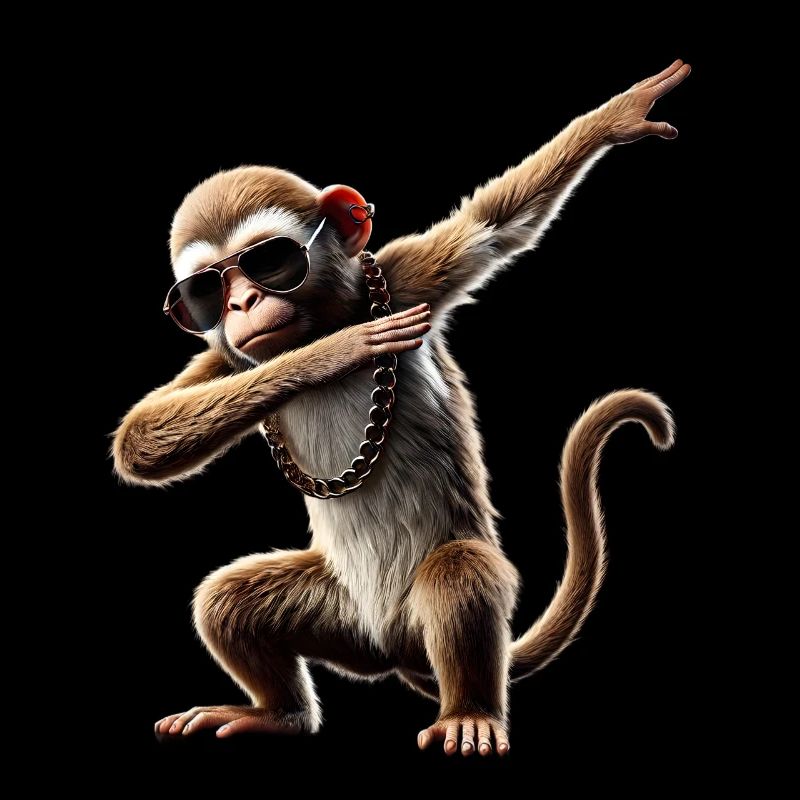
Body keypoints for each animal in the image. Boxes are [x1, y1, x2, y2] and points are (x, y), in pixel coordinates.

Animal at [115, 60, 689, 757]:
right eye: (206, 291)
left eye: (268, 262)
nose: (242, 305)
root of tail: (392, 655)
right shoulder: (230, 356)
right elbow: (140, 436)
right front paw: (334, 353)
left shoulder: (404, 276)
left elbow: (497, 222)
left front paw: (615, 118)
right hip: (334, 610)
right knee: (229, 600)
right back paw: (276, 714)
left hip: (406, 621)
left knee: (458, 571)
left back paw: (470, 710)